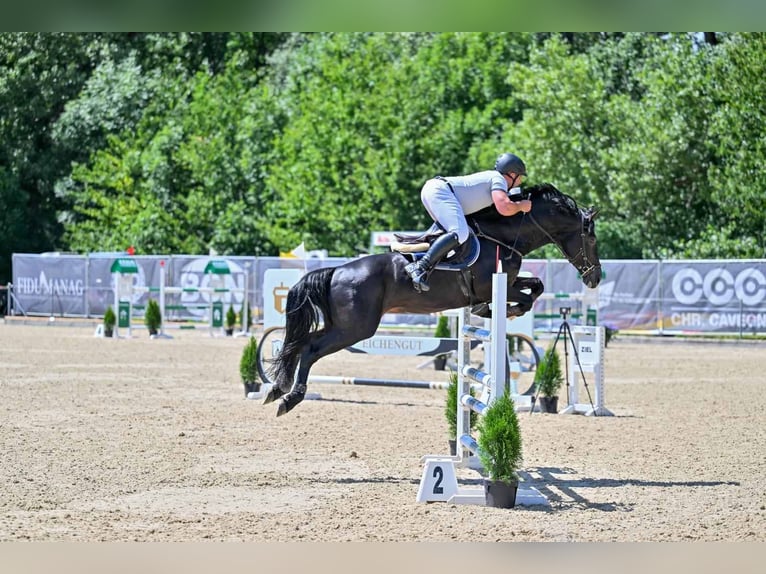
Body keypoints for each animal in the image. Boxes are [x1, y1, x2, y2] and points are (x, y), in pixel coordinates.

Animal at [265, 183, 602, 416]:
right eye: (592, 239)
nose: (595, 279)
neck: (505, 237)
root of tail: (336, 271)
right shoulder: (493, 285)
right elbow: (527, 298)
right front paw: (502, 310)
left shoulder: (509, 280)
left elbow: (538, 285)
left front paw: (496, 310)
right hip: (355, 328)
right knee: (309, 348)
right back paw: (290, 398)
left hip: (343, 326)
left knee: (299, 343)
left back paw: (277, 389)